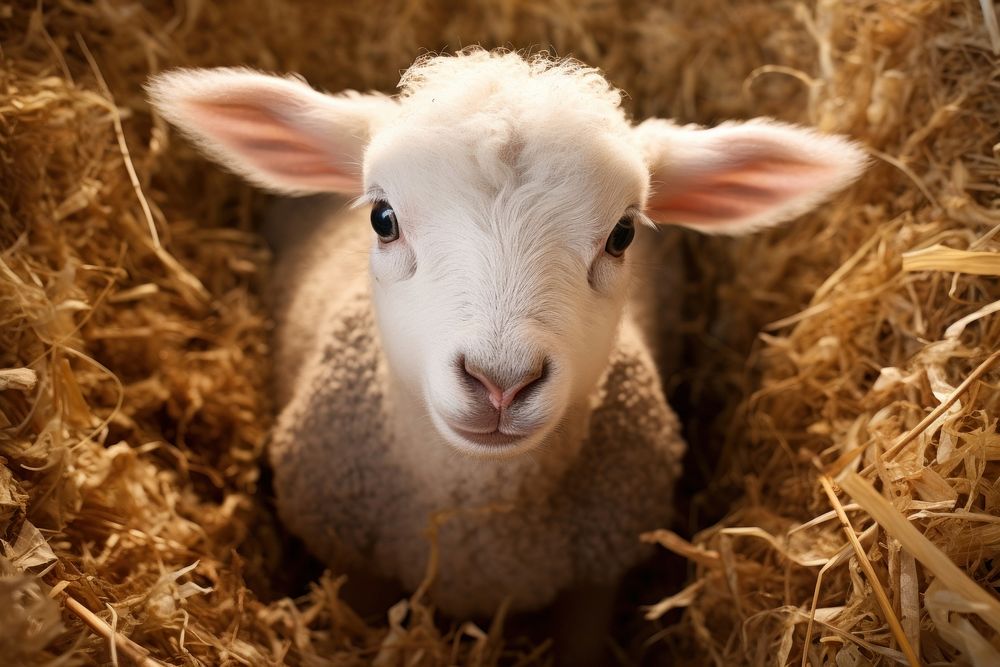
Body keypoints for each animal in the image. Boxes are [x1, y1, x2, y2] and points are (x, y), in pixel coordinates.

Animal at [145, 49, 864, 660]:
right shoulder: (352, 560)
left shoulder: (597, 578)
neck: (480, 522)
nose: (501, 382)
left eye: (623, 234)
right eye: (383, 218)